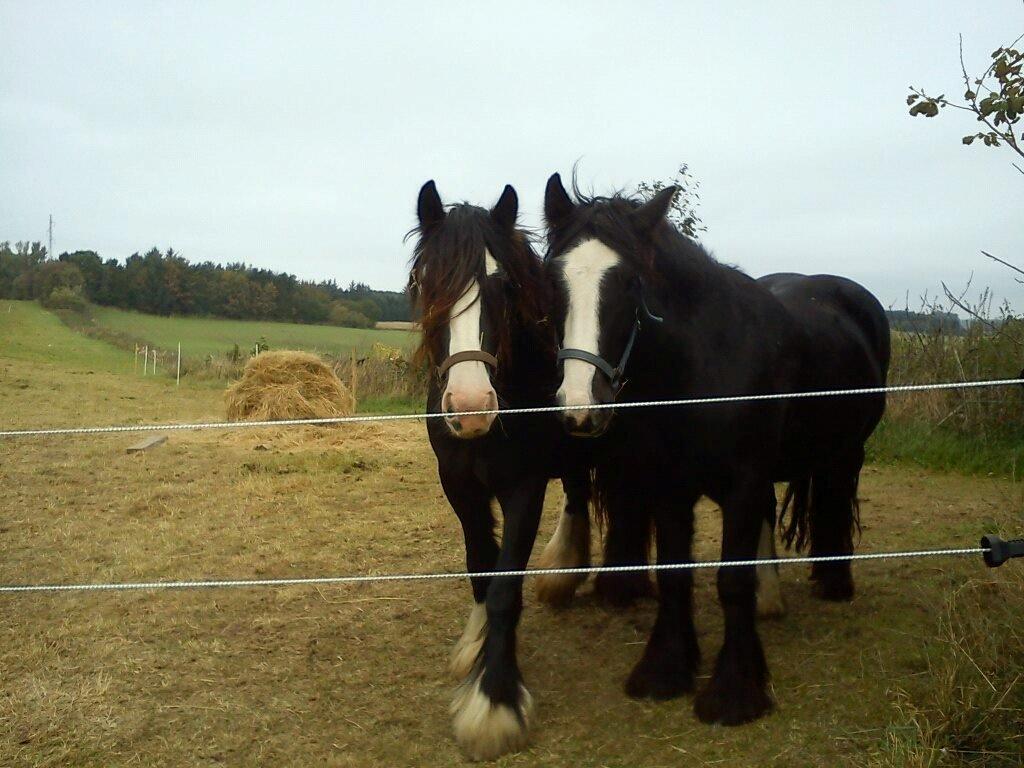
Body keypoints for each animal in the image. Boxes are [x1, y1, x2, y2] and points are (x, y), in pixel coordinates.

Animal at [544, 174, 888, 729]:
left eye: (631, 284)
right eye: (553, 280)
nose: (580, 407)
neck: (704, 366)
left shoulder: (743, 483)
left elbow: (731, 580)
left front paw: (735, 690)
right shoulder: (669, 484)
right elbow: (674, 573)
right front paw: (666, 668)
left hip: (847, 450)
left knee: (836, 497)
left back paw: (834, 581)